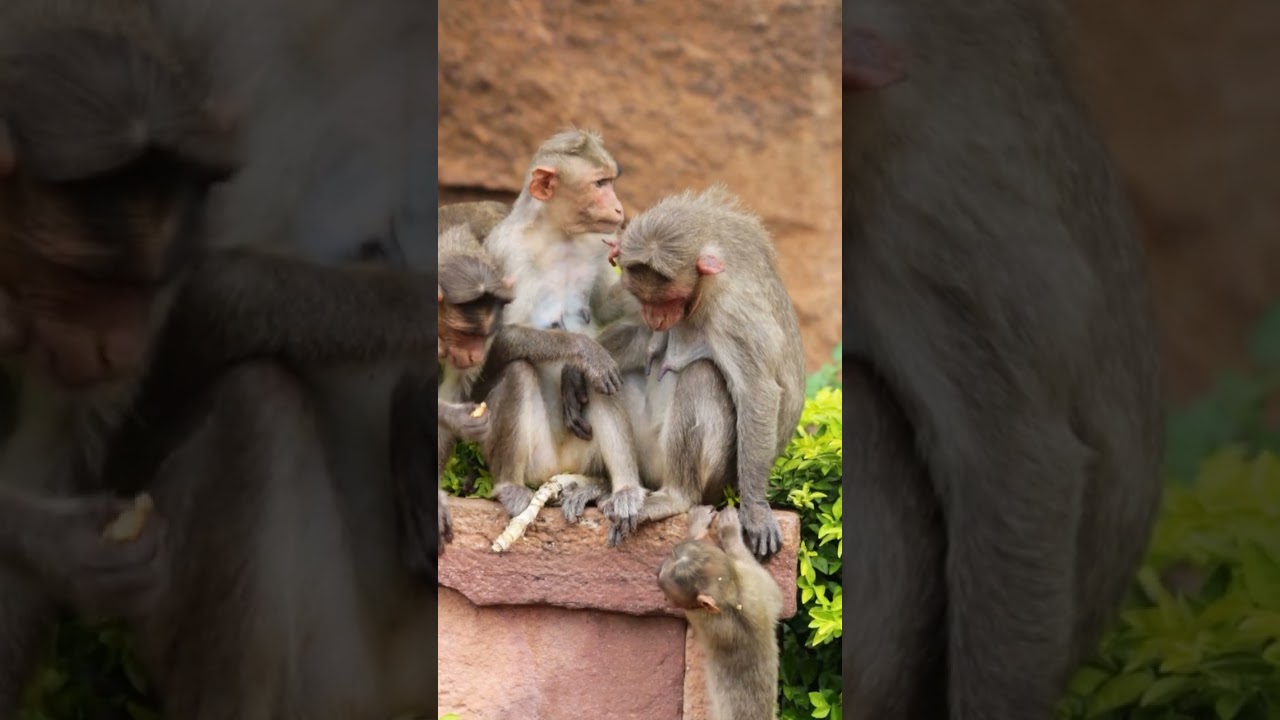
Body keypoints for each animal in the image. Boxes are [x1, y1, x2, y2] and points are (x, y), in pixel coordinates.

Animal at [566, 185, 805, 559]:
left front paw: (754, 508)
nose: (656, 316)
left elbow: (758, 391)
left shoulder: (732, 310)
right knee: (605, 382)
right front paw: (576, 370)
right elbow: (640, 340)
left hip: (715, 480)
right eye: (645, 299)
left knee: (702, 375)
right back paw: (615, 488)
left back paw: (675, 497)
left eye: (670, 300)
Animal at [657, 504, 783, 720]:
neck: (730, 596)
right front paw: (730, 532)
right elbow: (775, 595)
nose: (666, 598)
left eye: (670, 594)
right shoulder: (753, 584)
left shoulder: (698, 614)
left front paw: (697, 529)